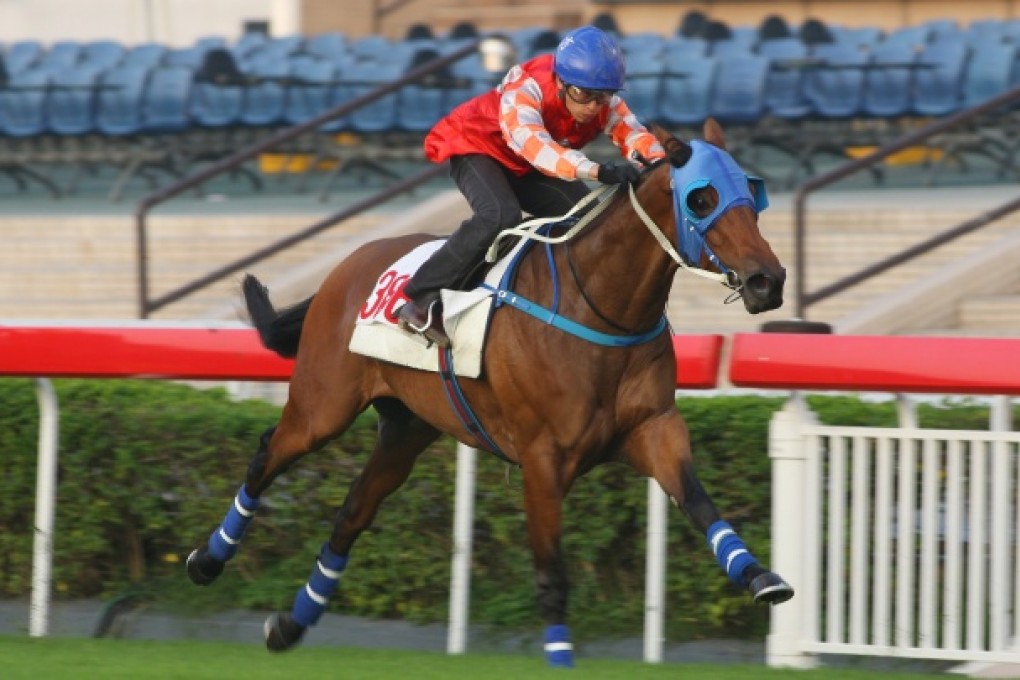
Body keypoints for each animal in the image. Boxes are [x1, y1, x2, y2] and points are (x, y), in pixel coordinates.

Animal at [191, 119, 791, 668]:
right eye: (702, 198)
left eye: (752, 193)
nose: (768, 280)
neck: (601, 307)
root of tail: (348, 265)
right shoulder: (543, 459)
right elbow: (551, 570)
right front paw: (560, 655)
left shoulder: (654, 429)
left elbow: (699, 502)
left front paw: (759, 575)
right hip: (324, 406)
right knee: (268, 454)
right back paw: (207, 559)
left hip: (406, 428)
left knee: (352, 512)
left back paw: (291, 624)